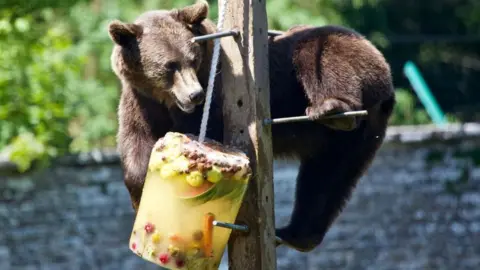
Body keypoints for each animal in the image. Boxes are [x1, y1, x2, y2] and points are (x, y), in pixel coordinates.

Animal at [108, 0, 394, 253]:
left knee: (316, 51)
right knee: (326, 180)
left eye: (193, 59)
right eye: (170, 66)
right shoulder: (140, 102)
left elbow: (209, 131)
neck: (164, 100)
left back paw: (333, 108)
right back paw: (295, 234)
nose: (195, 95)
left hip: (343, 63)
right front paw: (141, 195)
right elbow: (136, 147)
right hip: (351, 141)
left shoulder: (215, 90)